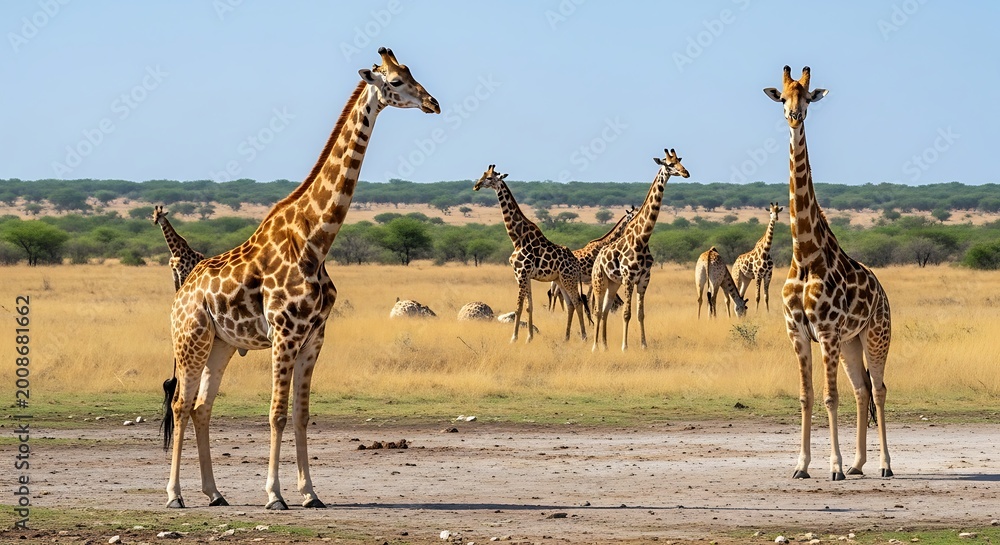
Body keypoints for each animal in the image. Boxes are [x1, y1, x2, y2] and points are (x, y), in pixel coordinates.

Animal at [160, 47, 439, 510]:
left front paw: (310, 492)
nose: (433, 103)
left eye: (412, 72)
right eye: (396, 81)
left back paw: (215, 493)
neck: (315, 239)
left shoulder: (314, 337)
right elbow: (275, 414)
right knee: (182, 404)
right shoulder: (285, 334)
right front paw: (274, 495)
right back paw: (174, 495)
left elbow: (302, 414)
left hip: (221, 345)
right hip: (191, 340)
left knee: (202, 407)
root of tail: (181, 295)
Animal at [473, 164, 589, 343]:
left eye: (490, 178)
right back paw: (566, 337)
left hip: (568, 279)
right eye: (483, 174)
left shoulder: (521, 273)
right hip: (560, 280)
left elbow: (519, 307)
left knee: (577, 302)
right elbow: (530, 307)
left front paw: (514, 338)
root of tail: (576, 264)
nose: (476, 185)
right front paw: (529, 337)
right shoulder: (524, 276)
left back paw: (583, 337)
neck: (516, 238)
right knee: (570, 304)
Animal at [592, 149, 689, 351]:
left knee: (605, 310)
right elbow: (626, 313)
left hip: (613, 283)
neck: (642, 239)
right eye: (669, 164)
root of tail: (598, 259)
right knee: (597, 311)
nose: (686, 173)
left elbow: (640, 314)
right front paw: (624, 347)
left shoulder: (644, 279)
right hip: (599, 280)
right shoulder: (629, 278)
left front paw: (644, 345)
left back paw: (605, 346)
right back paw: (595, 347)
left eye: (680, 161)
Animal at [765, 65, 892, 480]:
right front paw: (802, 465)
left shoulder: (827, 331)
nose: (794, 117)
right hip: (852, 342)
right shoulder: (798, 332)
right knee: (862, 389)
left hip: (875, 335)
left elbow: (829, 397)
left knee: (879, 389)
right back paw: (858, 463)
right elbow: (806, 397)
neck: (804, 254)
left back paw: (884, 465)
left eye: (807, 98)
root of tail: (882, 291)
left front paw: (832, 466)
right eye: (782, 97)